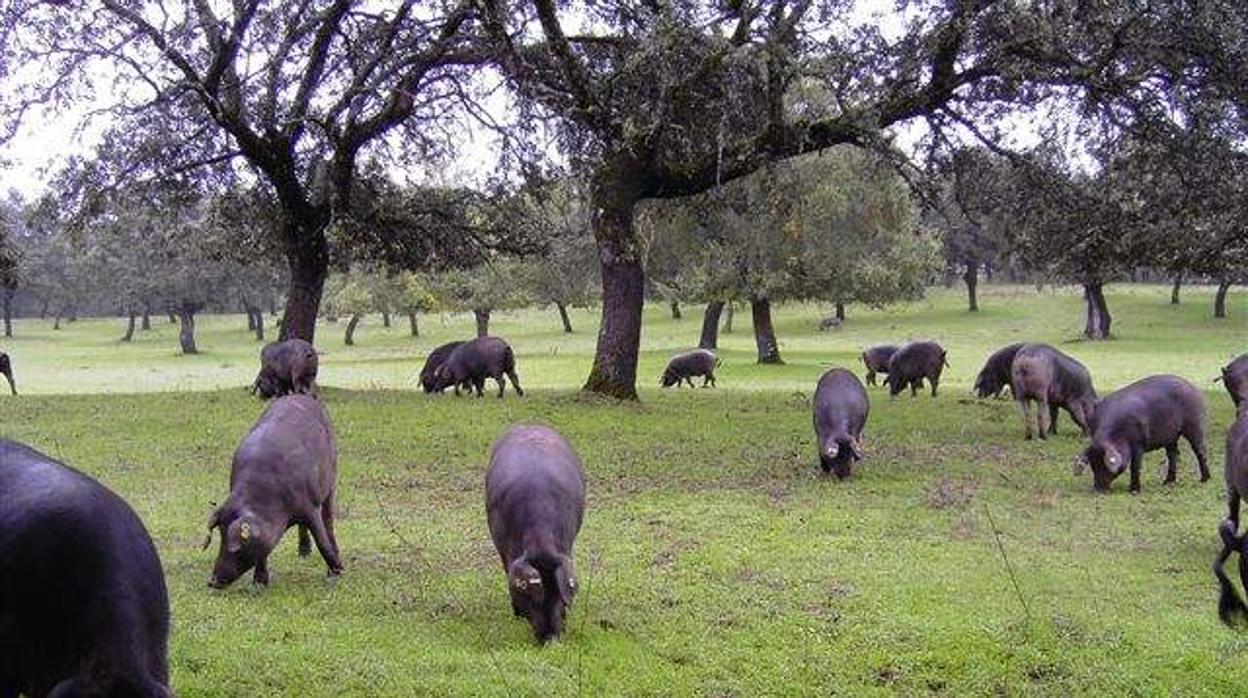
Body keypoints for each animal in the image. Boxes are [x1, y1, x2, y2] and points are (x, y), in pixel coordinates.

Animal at [204, 397, 341, 586]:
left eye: (237, 547)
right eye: (221, 536)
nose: (212, 582)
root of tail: (300, 396)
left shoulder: (310, 507)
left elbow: (322, 541)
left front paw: (336, 574)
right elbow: (263, 548)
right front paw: (258, 585)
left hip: (332, 476)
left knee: (328, 519)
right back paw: (303, 553)